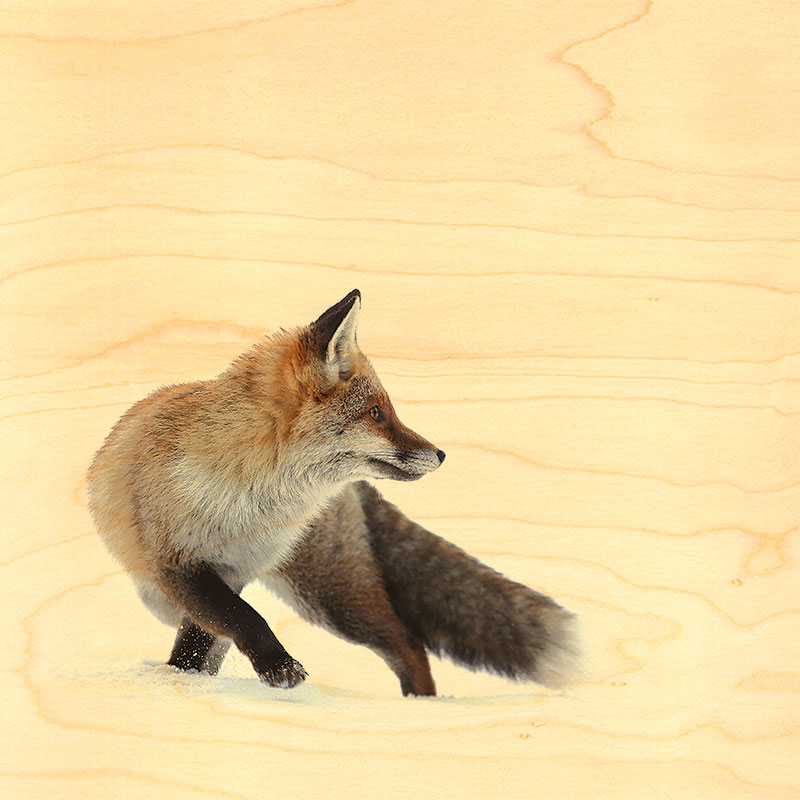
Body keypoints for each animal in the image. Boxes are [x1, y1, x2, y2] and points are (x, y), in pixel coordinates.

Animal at [87, 289, 579, 696]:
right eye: (376, 413)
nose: (440, 455)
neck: (251, 501)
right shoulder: (179, 565)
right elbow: (235, 621)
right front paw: (242, 672)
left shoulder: (231, 569)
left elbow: (222, 626)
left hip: (331, 593)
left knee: (407, 641)